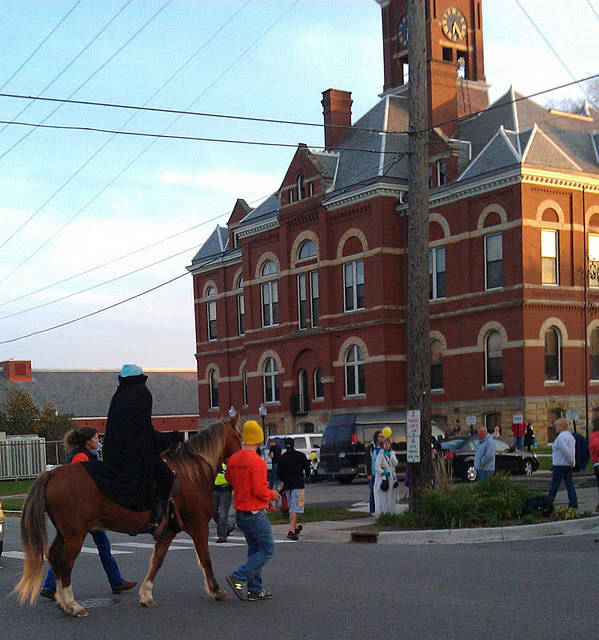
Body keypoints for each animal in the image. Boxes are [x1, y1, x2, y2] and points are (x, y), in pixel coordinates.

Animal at [13, 418, 241, 616]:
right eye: (238, 435)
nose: (243, 456)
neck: (190, 474)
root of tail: (51, 473)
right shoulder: (199, 526)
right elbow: (206, 559)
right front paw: (216, 590)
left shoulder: (167, 533)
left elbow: (157, 562)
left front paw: (146, 595)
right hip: (75, 534)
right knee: (65, 562)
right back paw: (73, 605)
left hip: (65, 532)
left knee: (54, 557)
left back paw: (62, 601)